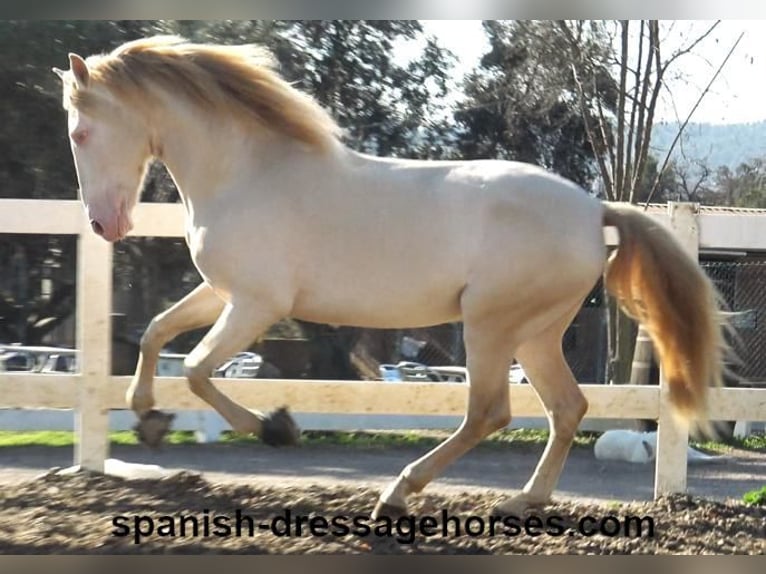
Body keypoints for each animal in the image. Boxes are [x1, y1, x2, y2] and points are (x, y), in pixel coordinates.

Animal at [52, 36, 728, 520]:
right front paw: (147, 418)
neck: (246, 171)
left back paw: (399, 492)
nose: (105, 225)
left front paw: (275, 427)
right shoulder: (223, 294)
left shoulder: (256, 305)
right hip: (535, 334)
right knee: (566, 408)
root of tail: (594, 210)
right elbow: (155, 334)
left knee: (490, 412)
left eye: (81, 132)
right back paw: (521, 501)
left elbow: (194, 368)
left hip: (490, 326)